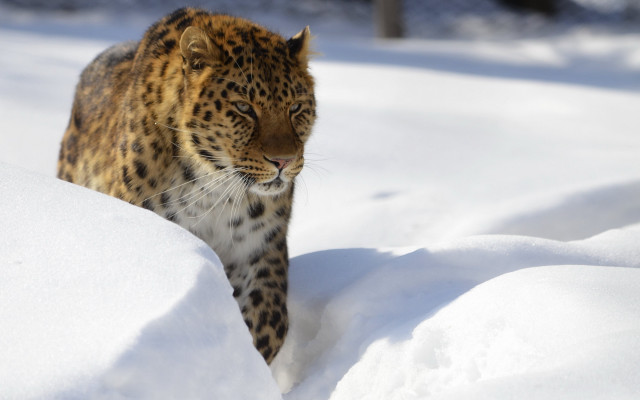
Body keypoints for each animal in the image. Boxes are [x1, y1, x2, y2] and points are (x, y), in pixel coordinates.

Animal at [57, 7, 316, 364]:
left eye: (295, 108)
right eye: (244, 108)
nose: (283, 161)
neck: (215, 188)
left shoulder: (261, 249)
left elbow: (269, 320)